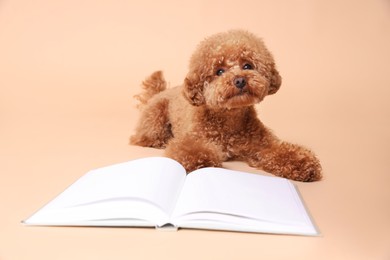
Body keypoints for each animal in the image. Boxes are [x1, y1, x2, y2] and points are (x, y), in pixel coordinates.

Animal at [129, 29, 322, 182]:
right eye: (219, 71)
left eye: (247, 65)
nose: (240, 80)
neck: (229, 120)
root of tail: (160, 92)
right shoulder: (192, 140)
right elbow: (193, 152)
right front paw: (204, 163)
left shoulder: (263, 144)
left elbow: (281, 151)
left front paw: (303, 163)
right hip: (155, 118)